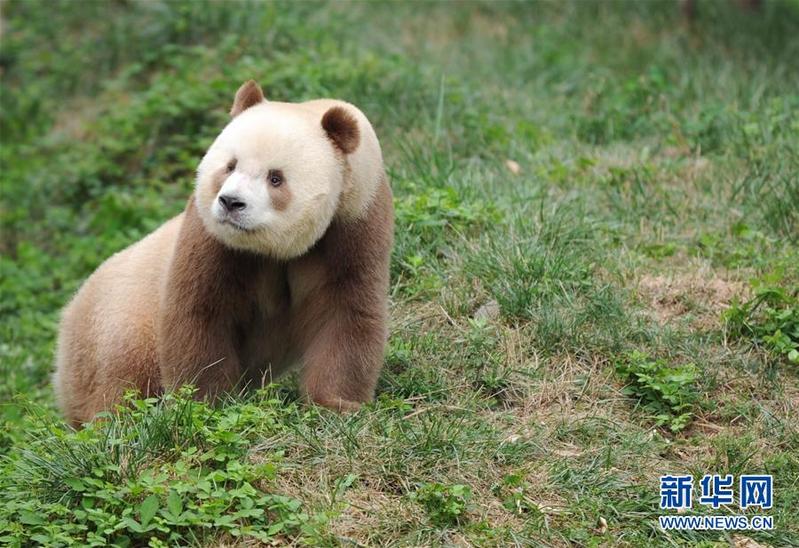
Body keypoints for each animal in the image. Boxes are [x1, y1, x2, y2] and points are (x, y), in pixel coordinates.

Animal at [53, 80, 394, 426]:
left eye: (275, 177)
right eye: (230, 166)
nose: (231, 202)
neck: (273, 249)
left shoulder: (353, 224)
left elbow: (345, 310)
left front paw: (337, 404)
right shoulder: (211, 238)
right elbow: (202, 313)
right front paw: (205, 406)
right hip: (120, 325)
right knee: (122, 382)